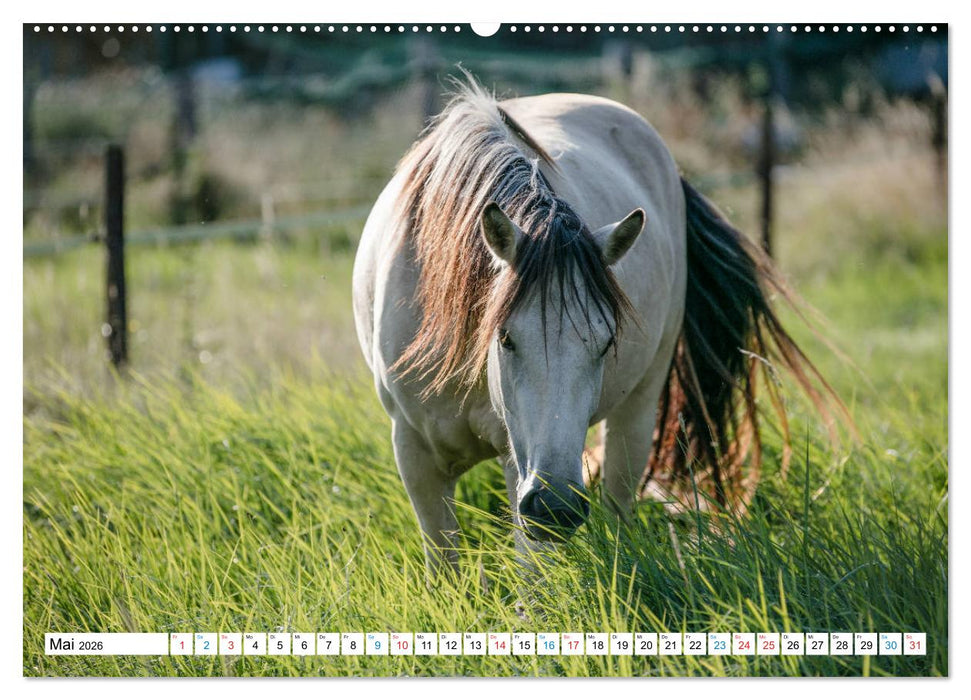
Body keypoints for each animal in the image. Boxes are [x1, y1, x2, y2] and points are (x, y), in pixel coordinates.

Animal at [352, 79, 838, 578]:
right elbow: (445, 568)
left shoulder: (518, 459)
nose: (557, 508)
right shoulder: (415, 455)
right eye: (504, 338)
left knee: (619, 502)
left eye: (606, 344)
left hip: (636, 413)